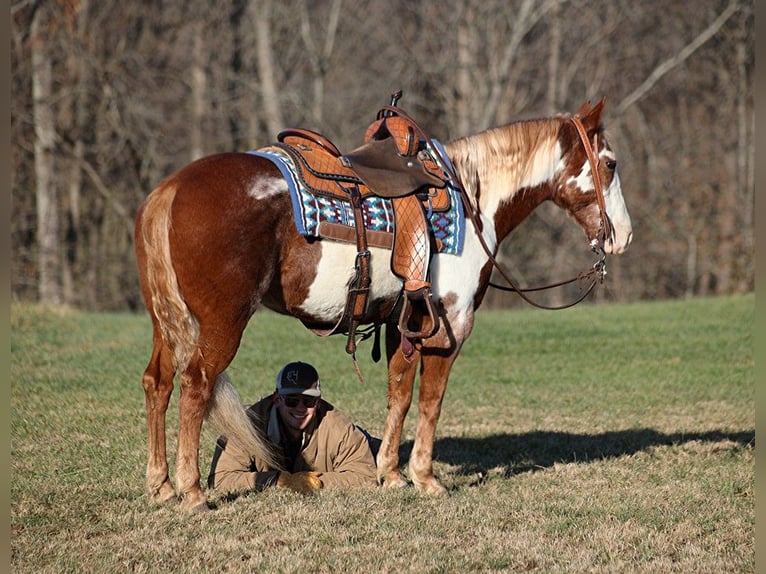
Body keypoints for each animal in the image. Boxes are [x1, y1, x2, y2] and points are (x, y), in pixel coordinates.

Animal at [135, 99, 632, 512]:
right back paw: (192, 492)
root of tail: (171, 188)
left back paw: (161, 486)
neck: (472, 202)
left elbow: (399, 394)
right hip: (222, 323)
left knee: (157, 383)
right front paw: (425, 478)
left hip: (167, 324)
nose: (623, 236)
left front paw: (390, 474)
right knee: (195, 386)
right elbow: (430, 400)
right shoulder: (449, 324)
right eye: (609, 164)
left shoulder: (403, 324)